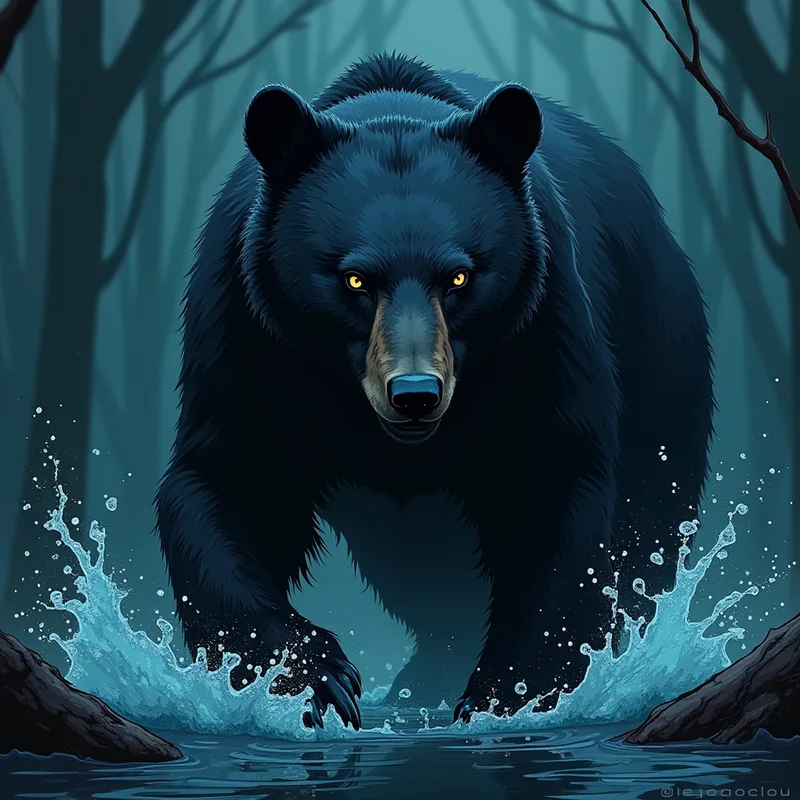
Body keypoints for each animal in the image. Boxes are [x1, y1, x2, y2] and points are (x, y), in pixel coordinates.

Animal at [155, 53, 713, 730]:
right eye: (354, 279)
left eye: (460, 276)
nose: (415, 393)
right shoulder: (247, 330)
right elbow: (223, 484)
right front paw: (320, 680)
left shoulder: (542, 325)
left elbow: (560, 482)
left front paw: (507, 691)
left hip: (659, 345)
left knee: (651, 522)